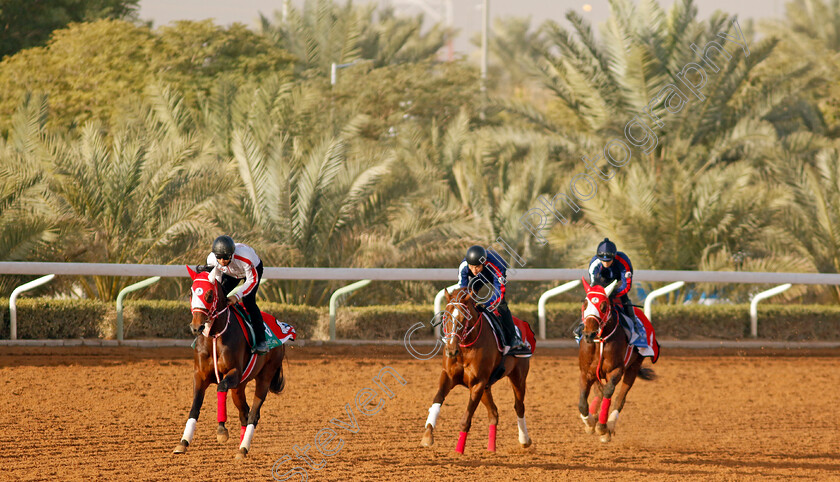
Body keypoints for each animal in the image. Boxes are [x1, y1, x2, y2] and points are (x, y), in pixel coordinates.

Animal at [172, 266, 288, 458]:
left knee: (253, 414)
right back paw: (241, 445)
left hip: (264, 378)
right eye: (191, 293)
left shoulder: (233, 373)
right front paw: (183, 442)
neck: (214, 336)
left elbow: (221, 388)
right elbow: (195, 406)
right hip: (239, 387)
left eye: (209, 294)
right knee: (244, 412)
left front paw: (221, 431)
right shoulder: (200, 375)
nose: (196, 327)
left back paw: (244, 448)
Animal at [420, 288, 532, 454]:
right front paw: (428, 435)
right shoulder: (448, 376)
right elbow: (437, 398)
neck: (464, 349)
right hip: (487, 387)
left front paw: (459, 450)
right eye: (445, 316)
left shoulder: (478, 383)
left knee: (519, 407)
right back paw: (491, 448)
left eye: (463, 318)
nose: (451, 350)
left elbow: (466, 419)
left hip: (518, 377)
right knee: (494, 413)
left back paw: (524, 440)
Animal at [576, 276, 656, 442]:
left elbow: (609, 391)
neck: (599, 341)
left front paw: (602, 427)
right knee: (599, 392)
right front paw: (590, 422)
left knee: (620, 398)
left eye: (603, 306)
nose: (589, 334)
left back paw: (610, 424)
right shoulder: (586, 372)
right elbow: (582, 403)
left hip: (634, 367)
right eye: (585, 304)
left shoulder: (616, 370)